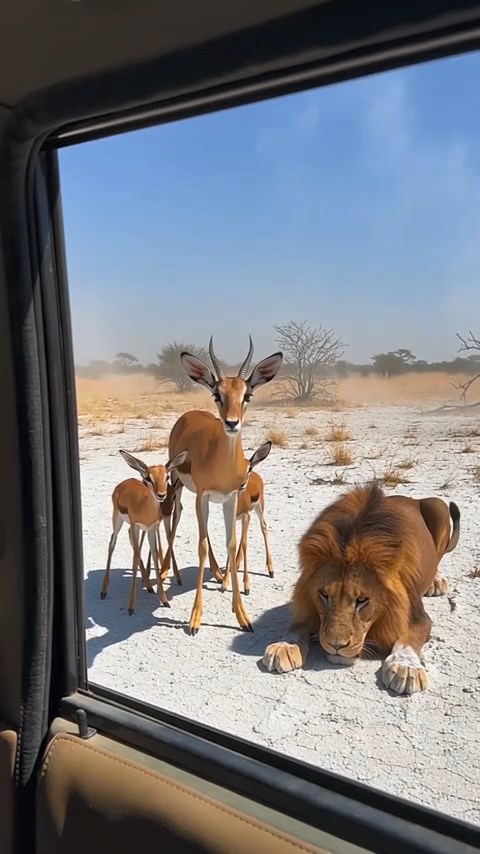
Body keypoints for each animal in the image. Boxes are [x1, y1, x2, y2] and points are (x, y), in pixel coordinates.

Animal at [263, 482, 460, 695]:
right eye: (324, 595)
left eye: (362, 600)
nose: (336, 646)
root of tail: (411, 498)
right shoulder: (306, 604)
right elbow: (297, 625)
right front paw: (284, 646)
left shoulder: (418, 616)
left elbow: (409, 638)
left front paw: (406, 667)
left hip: (438, 505)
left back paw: (436, 581)